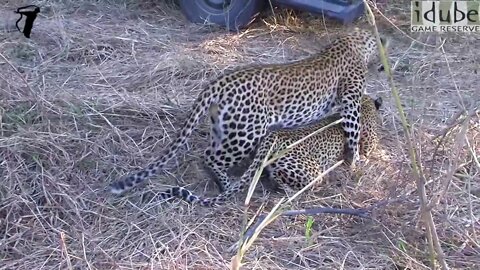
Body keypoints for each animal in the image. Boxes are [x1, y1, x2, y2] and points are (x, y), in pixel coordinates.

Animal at [157, 94, 382, 206]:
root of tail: (273, 137)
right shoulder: (368, 139)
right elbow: (371, 151)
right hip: (312, 171)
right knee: (295, 181)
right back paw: (288, 191)